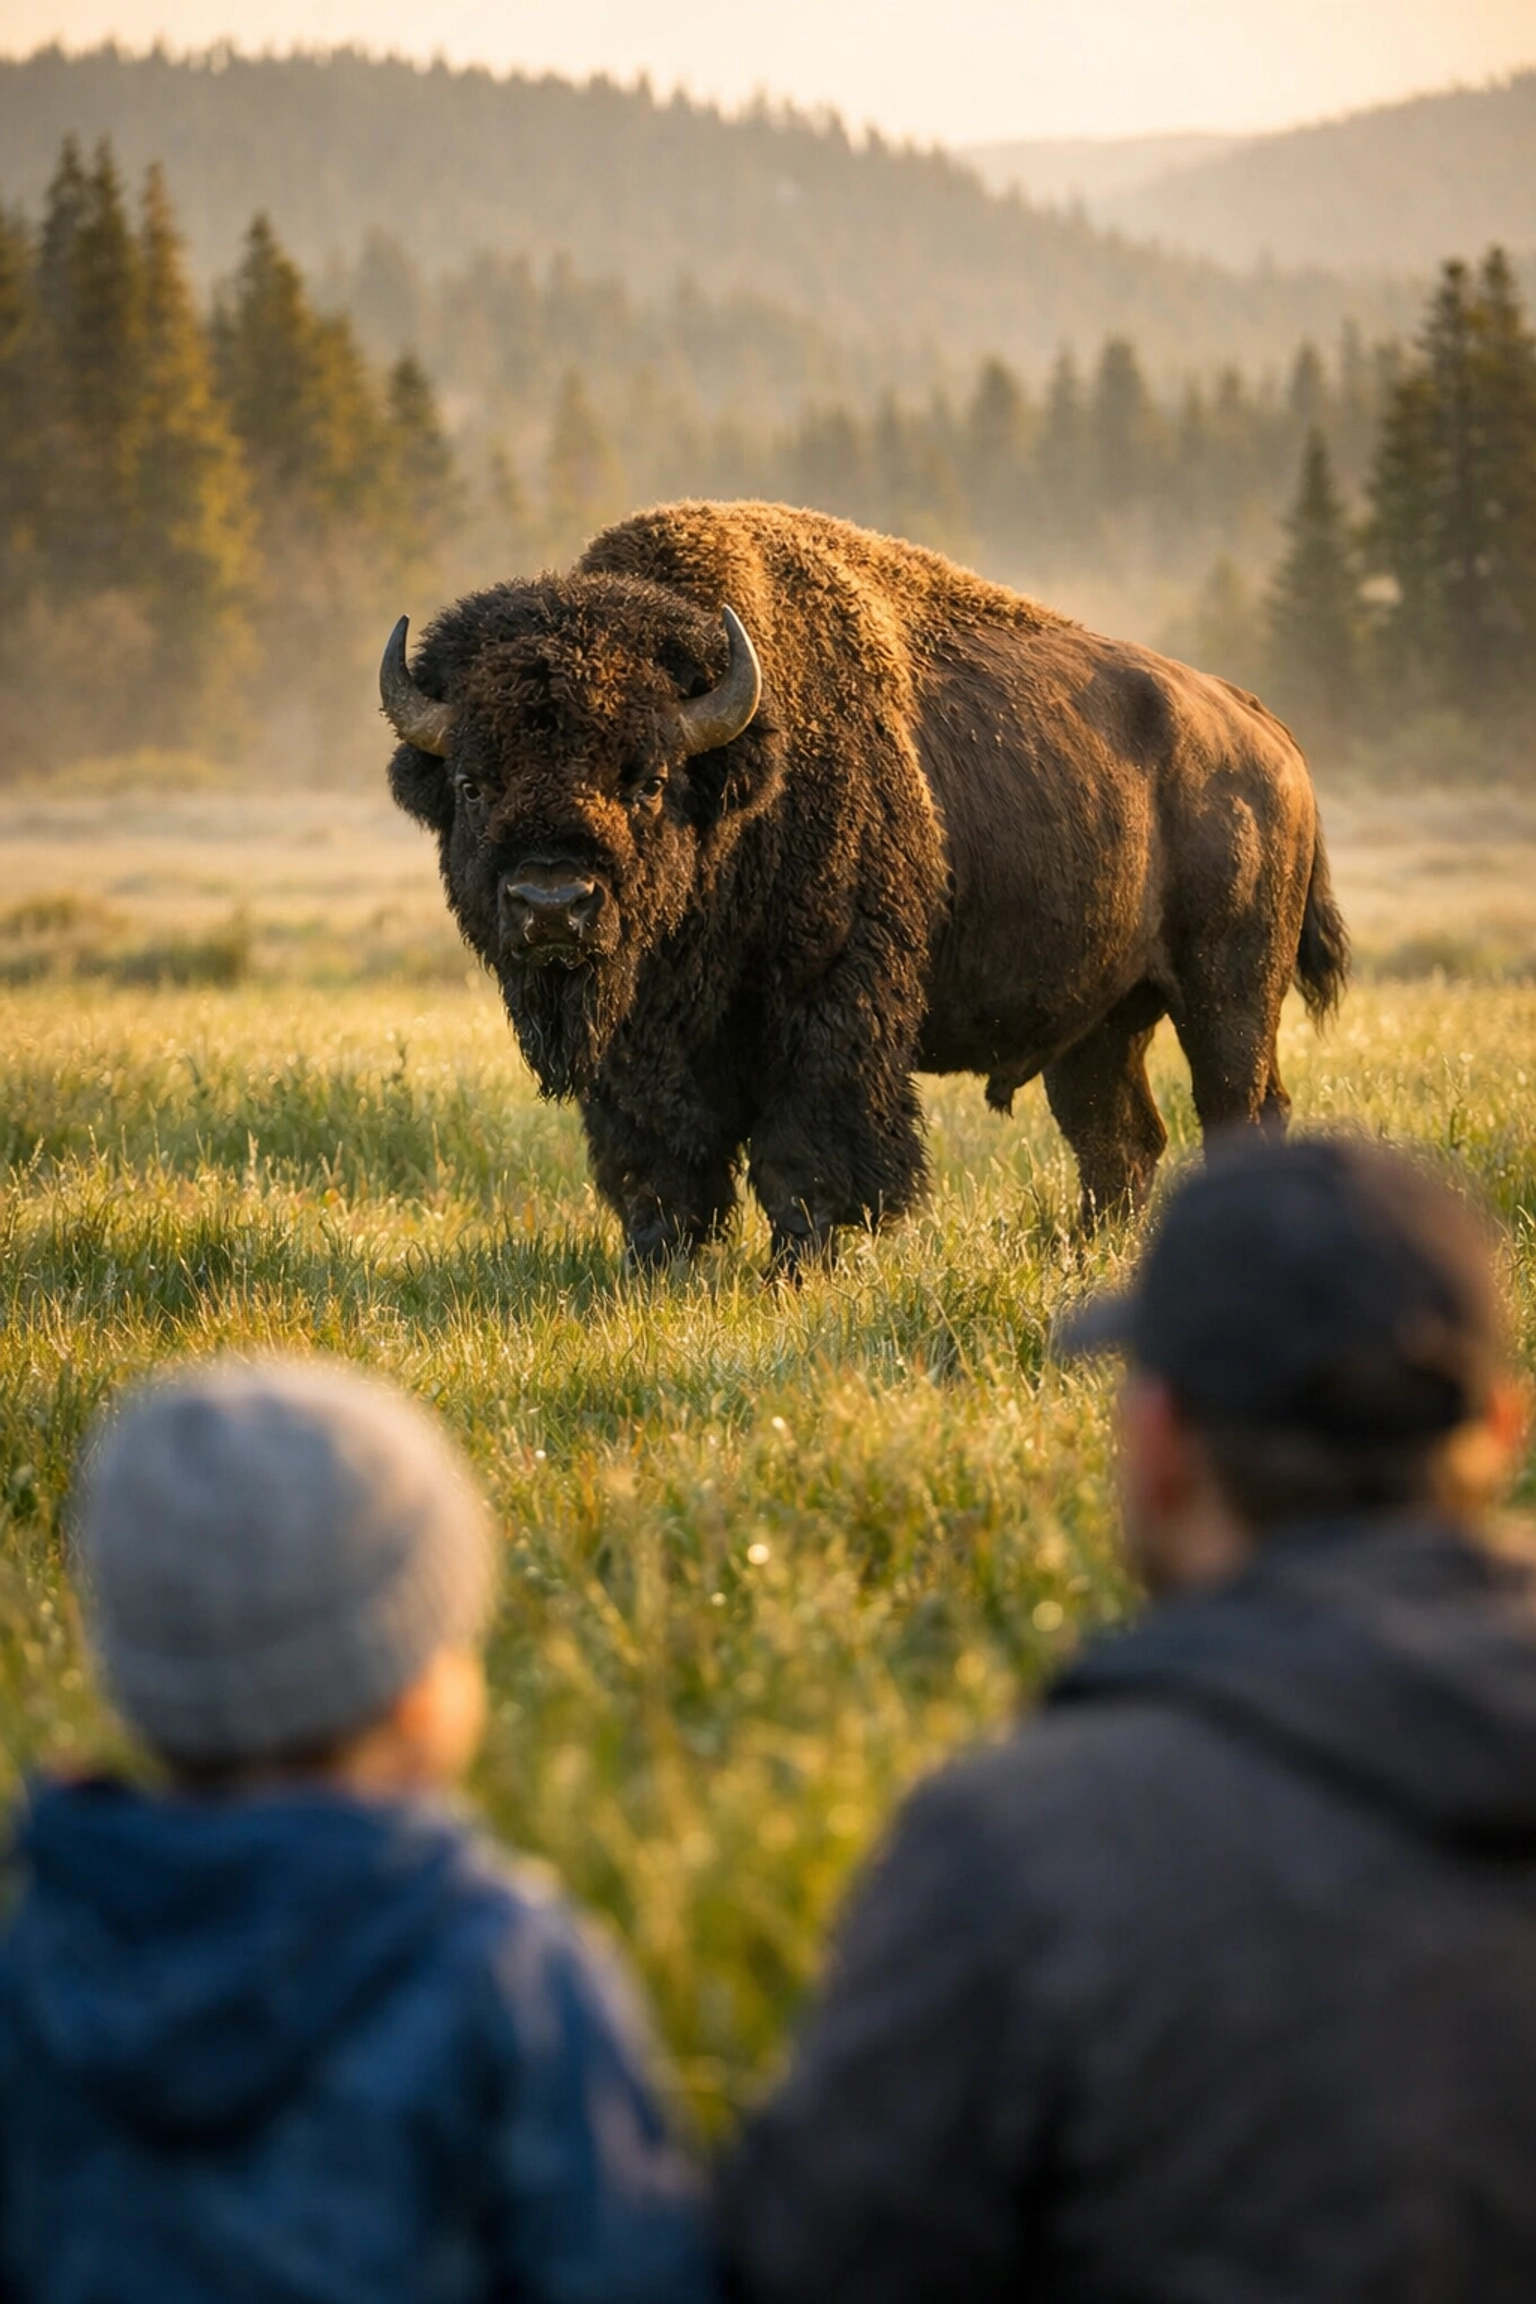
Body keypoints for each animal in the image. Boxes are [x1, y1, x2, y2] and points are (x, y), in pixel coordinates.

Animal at [383, 501, 1348, 1272]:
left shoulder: (826, 1006)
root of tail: (1263, 729)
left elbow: (804, 1158)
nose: (551, 904)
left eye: (646, 780)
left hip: (1228, 993)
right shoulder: (642, 1049)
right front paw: (659, 1268)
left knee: (1240, 1109)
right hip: (1103, 1022)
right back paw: (1090, 1251)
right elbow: (661, 1168)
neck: (737, 774)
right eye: (472, 783)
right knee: (1118, 1139)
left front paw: (799, 1268)